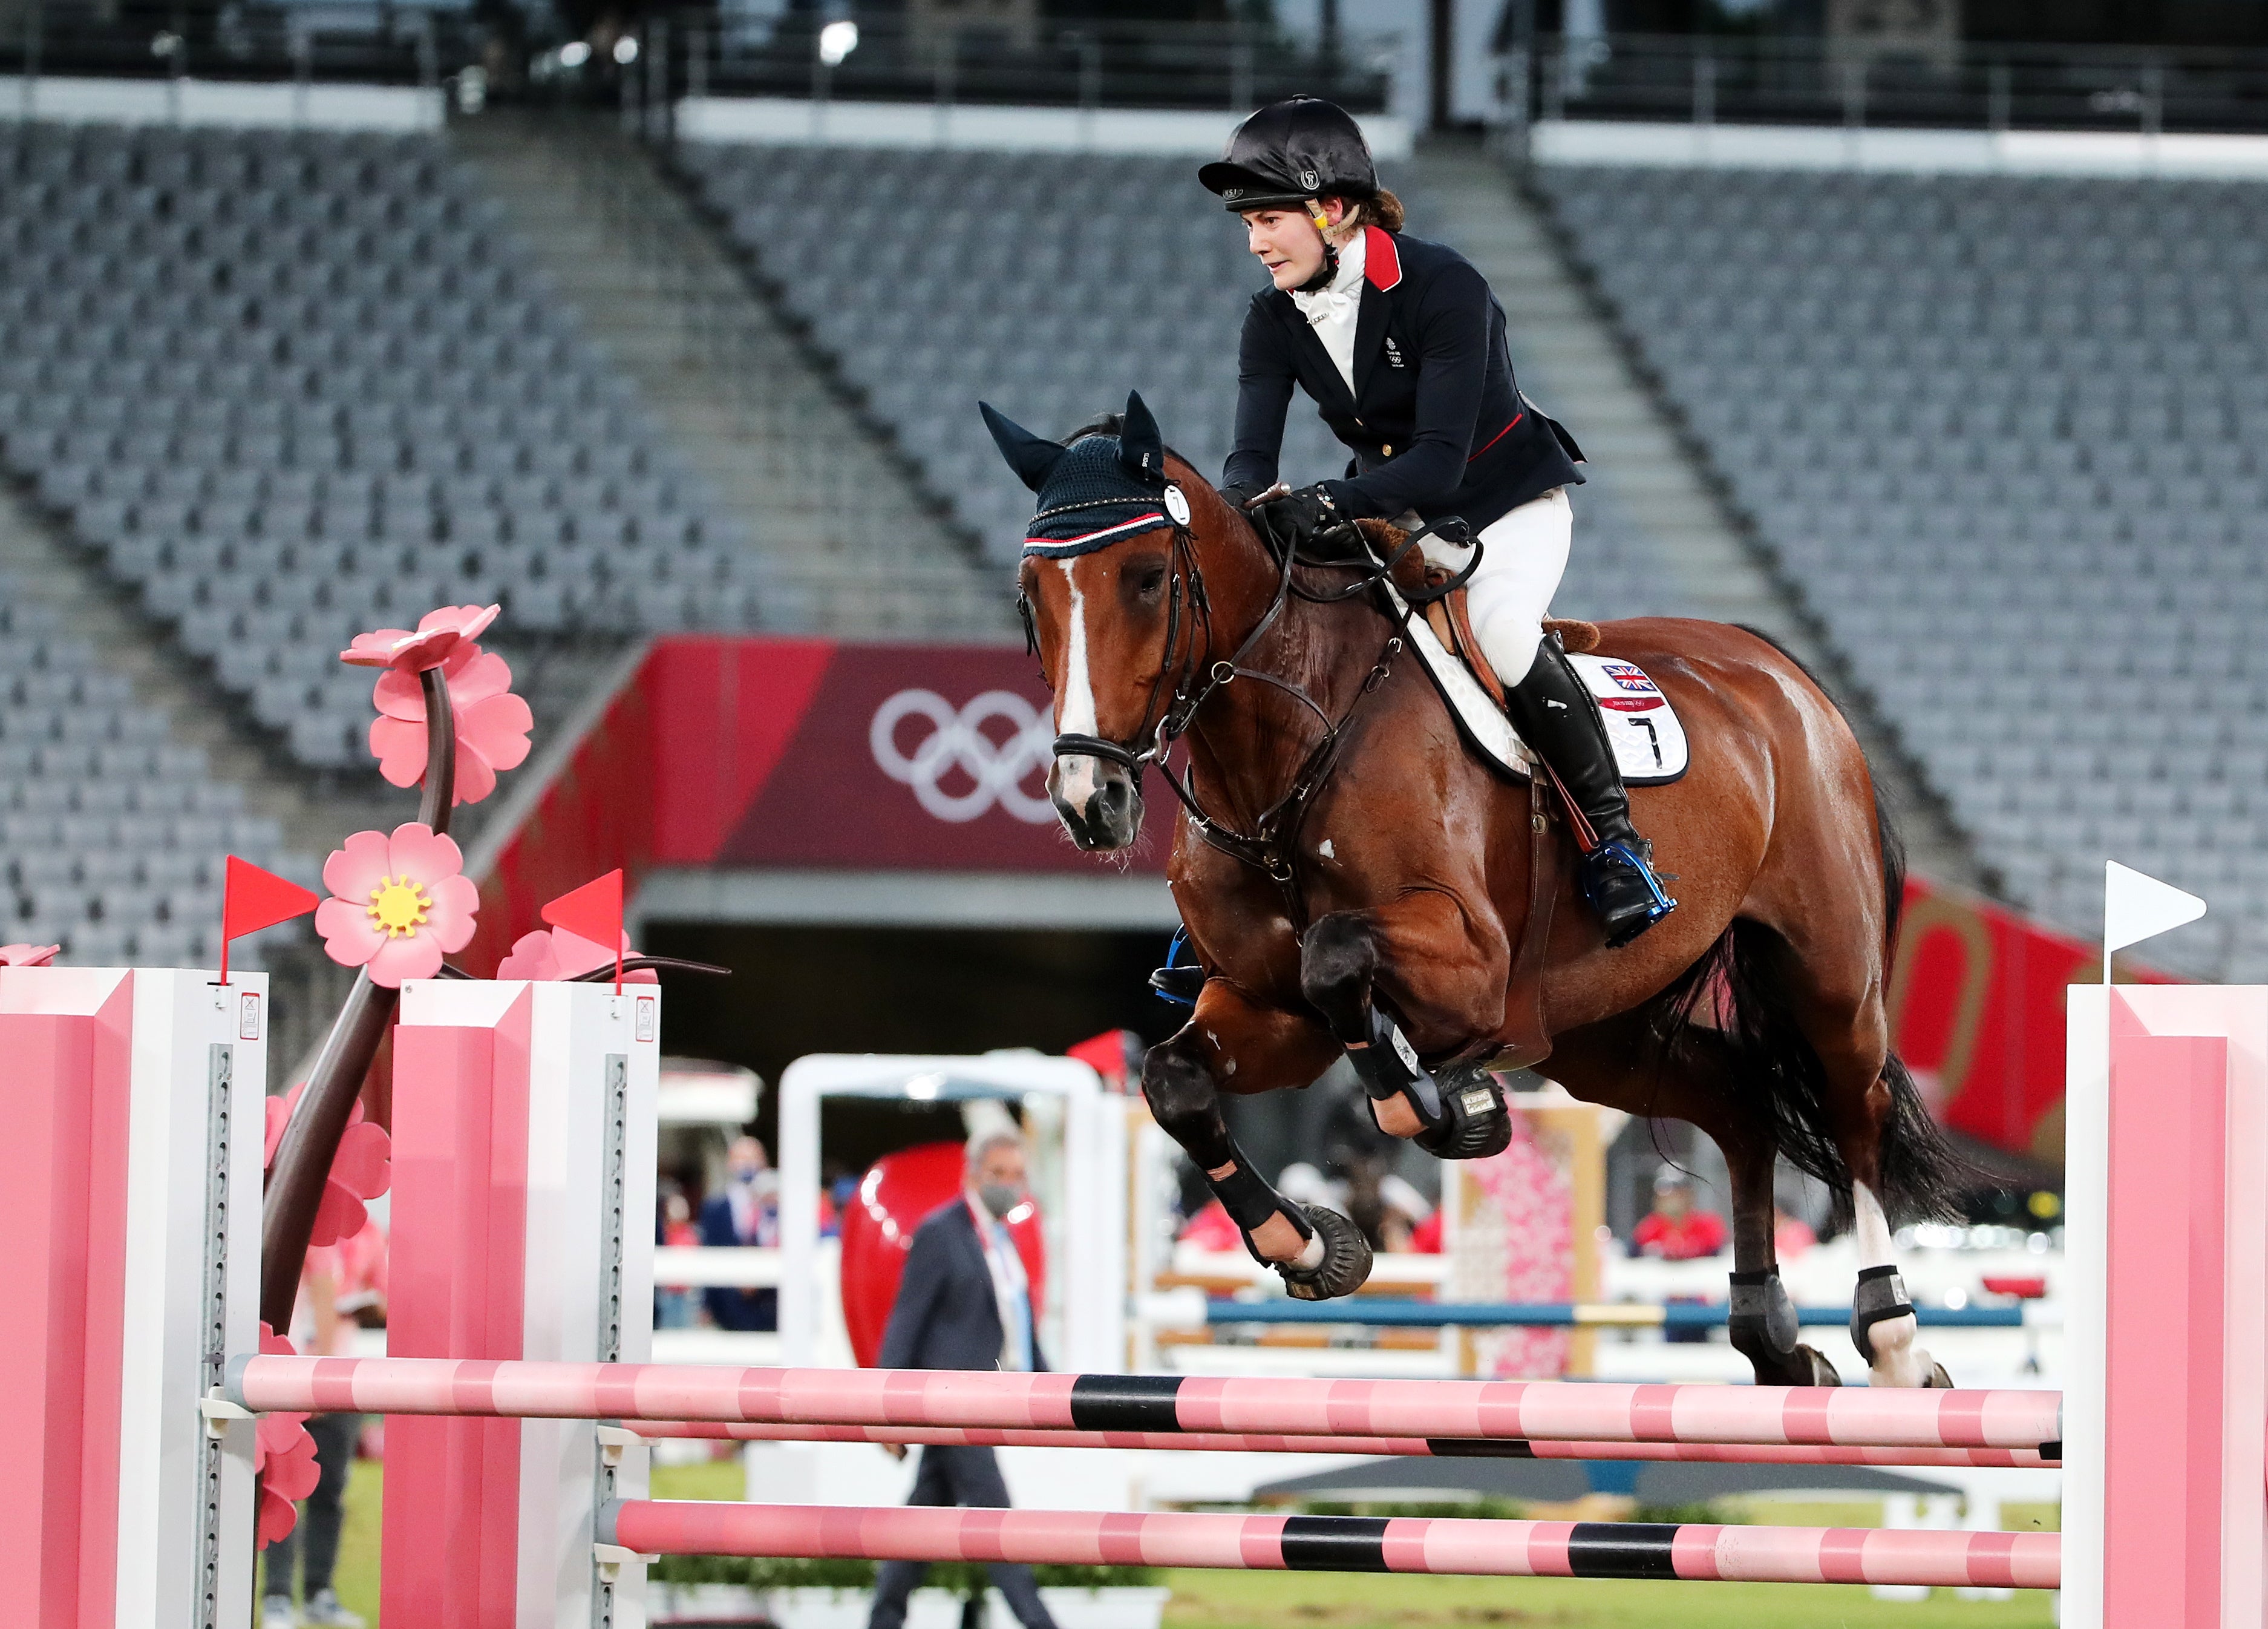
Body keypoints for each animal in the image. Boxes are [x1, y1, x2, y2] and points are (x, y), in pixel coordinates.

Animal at [993, 395, 1969, 1388]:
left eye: (1149, 578)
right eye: (1032, 596)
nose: (1089, 801)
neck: (1284, 749)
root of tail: (1784, 674)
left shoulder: (1469, 959)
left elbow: (1334, 957)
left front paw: (1446, 1109)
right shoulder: (1269, 1009)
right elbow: (1177, 1078)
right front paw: (1312, 1245)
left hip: (1827, 971)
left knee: (1853, 1108)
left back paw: (1892, 1342)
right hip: (1595, 1032)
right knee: (1740, 1106)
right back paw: (1772, 1343)